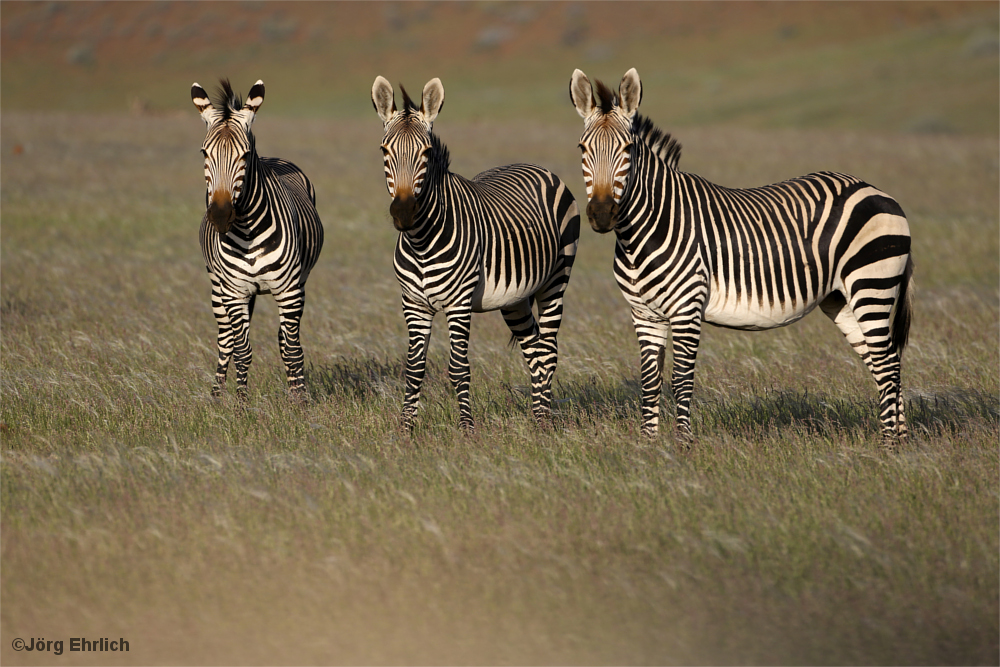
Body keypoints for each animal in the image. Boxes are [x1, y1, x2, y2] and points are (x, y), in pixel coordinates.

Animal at [191, 78, 324, 402]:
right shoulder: (235, 291)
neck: (248, 230)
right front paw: (240, 403)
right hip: (217, 286)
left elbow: (292, 349)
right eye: (204, 153)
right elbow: (242, 350)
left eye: (245, 155)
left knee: (285, 339)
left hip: (299, 284)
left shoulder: (289, 290)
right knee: (225, 338)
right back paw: (216, 395)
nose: (220, 215)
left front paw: (299, 401)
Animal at [372, 77, 584, 434]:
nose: (403, 213)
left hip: (555, 280)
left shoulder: (458, 303)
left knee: (549, 351)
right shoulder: (413, 304)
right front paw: (405, 430)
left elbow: (459, 368)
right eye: (385, 151)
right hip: (515, 298)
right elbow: (413, 368)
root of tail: (536, 166)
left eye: (426, 152)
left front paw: (467, 429)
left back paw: (544, 423)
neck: (421, 240)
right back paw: (537, 417)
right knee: (534, 350)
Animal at [568, 69, 912, 444]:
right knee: (885, 363)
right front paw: (649, 445)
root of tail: (877, 191)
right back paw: (900, 442)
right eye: (582, 148)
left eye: (627, 149)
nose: (602, 215)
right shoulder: (644, 314)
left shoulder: (687, 309)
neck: (644, 231)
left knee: (888, 365)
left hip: (872, 285)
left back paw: (889, 446)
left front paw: (682, 445)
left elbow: (681, 382)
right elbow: (649, 383)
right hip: (842, 298)